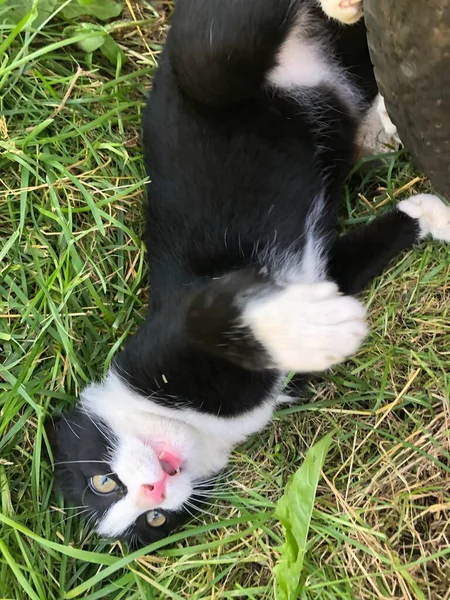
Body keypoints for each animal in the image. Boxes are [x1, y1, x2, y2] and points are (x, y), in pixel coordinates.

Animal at [46, 0, 450, 552]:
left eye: (102, 482)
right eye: (154, 523)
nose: (154, 491)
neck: (197, 423)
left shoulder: (163, 339)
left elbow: (207, 314)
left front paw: (315, 331)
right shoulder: (320, 277)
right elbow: (352, 262)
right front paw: (430, 215)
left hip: (204, 71)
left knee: (219, 43)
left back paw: (341, 10)